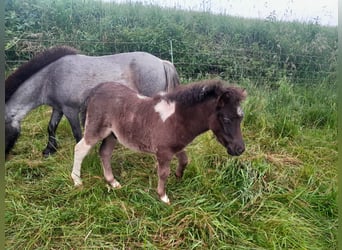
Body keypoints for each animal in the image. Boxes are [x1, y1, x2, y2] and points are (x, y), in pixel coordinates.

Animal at [5, 46, 179, 157]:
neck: (50, 77)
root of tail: (162, 62)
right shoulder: (58, 108)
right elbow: (51, 127)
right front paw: (49, 150)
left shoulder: (70, 109)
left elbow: (77, 133)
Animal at [72, 79, 247, 203]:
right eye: (226, 118)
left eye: (241, 118)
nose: (240, 149)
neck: (177, 118)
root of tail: (96, 89)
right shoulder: (163, 151)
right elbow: (163, 173)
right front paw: (163, 197)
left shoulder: (176, 146)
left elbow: (184, 160)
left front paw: (178, 176)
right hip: (96, 129)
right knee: (80, 149)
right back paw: (77, 181)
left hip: (112, 134)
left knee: (105, 153)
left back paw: (113, 182)